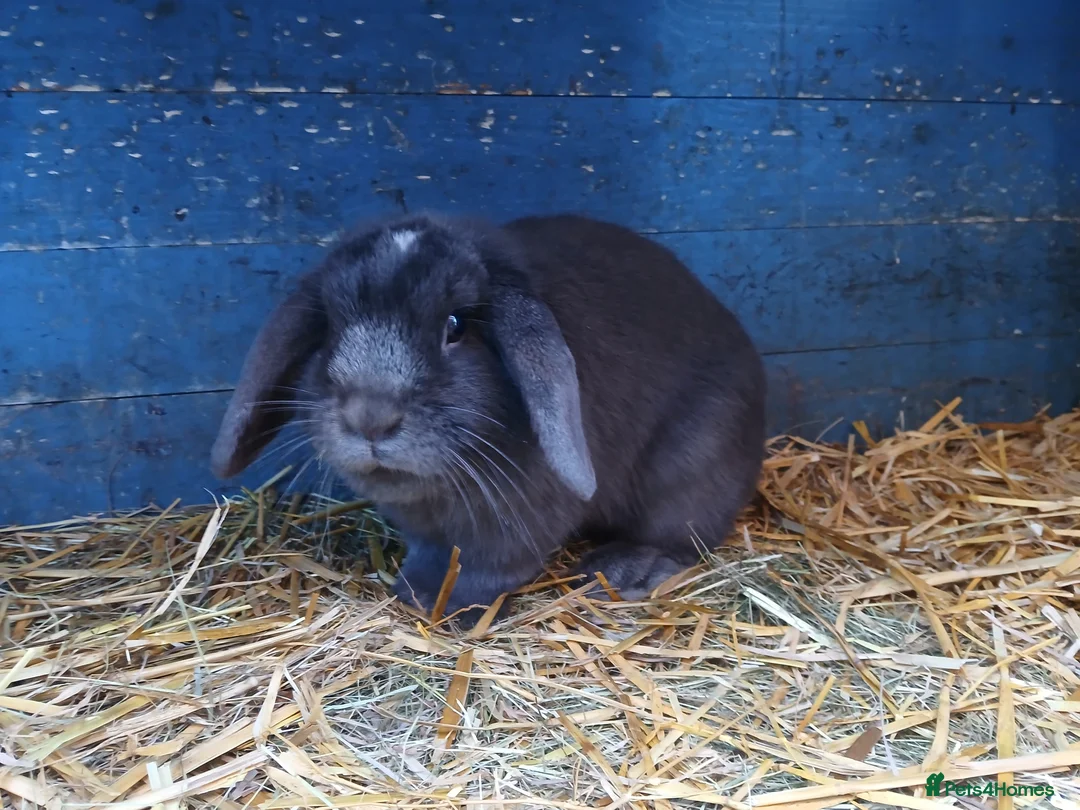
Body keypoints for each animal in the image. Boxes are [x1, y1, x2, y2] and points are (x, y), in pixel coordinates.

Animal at [211, 212, 767, 627]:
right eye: (330, 328)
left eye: (455, 327)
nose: (370, 417)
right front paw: (413, 592)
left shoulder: (518, 522)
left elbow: (490, 569)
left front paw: (448, 609)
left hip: (689, 467)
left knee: (683, 537)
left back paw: (623, 569)